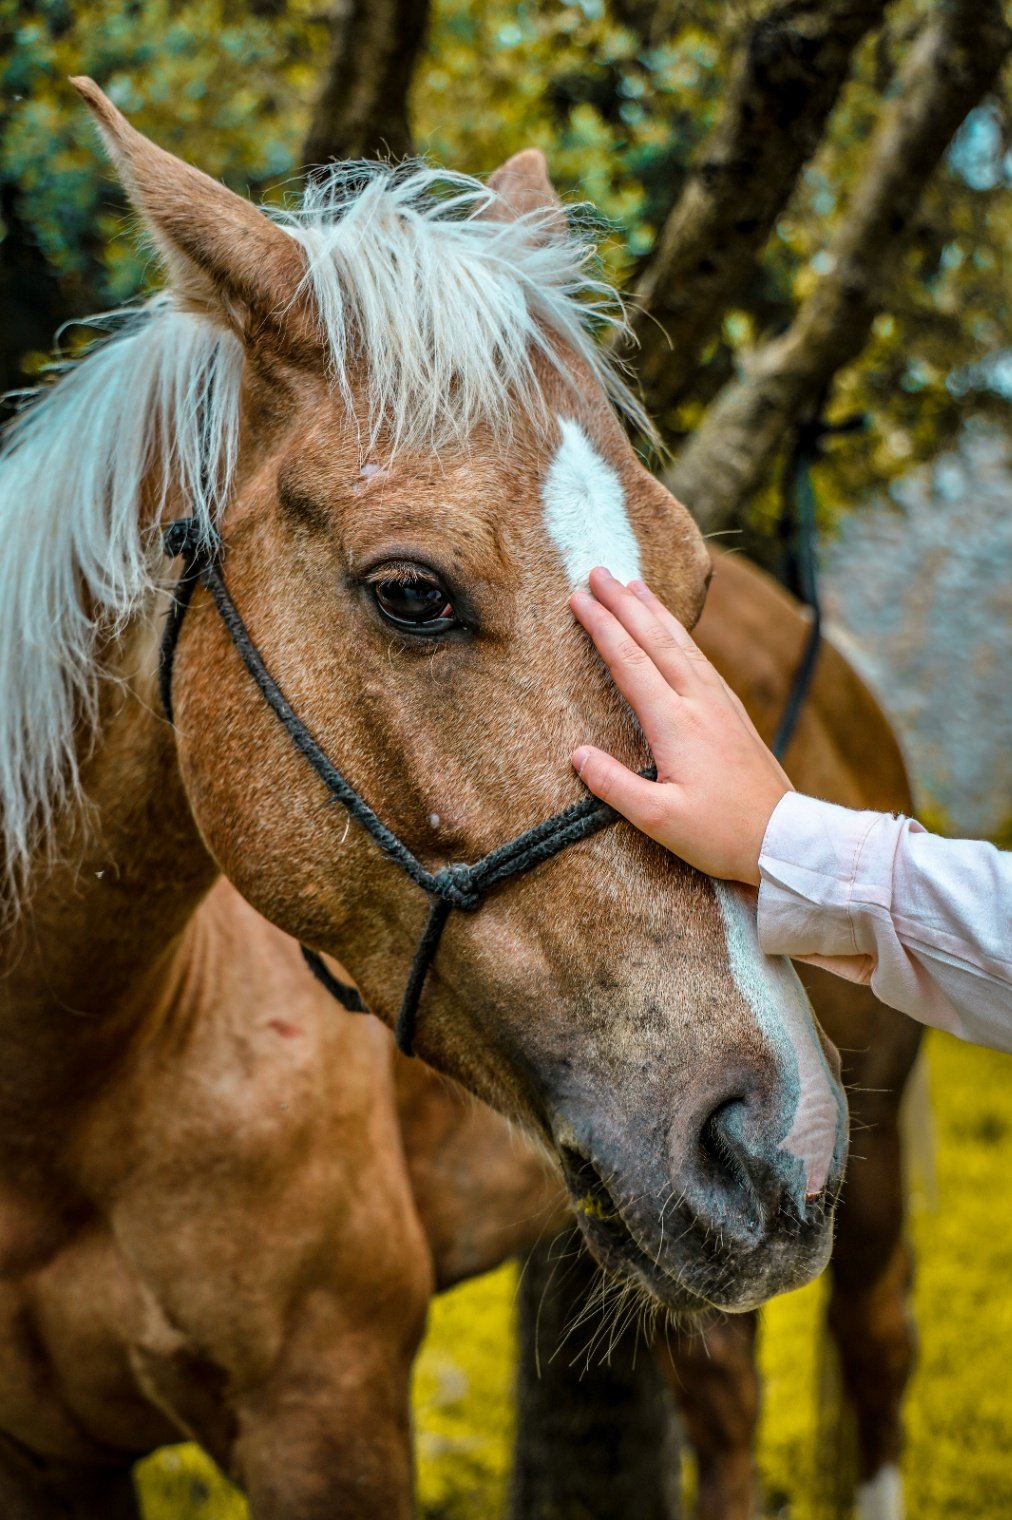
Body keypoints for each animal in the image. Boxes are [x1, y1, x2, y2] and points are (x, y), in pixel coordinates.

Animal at [0, 81, 847, 1517]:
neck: (58, 1090)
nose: (773, 1136)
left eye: (687, 577)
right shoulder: (45, 1459)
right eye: (411, 592)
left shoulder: (325, 1407)